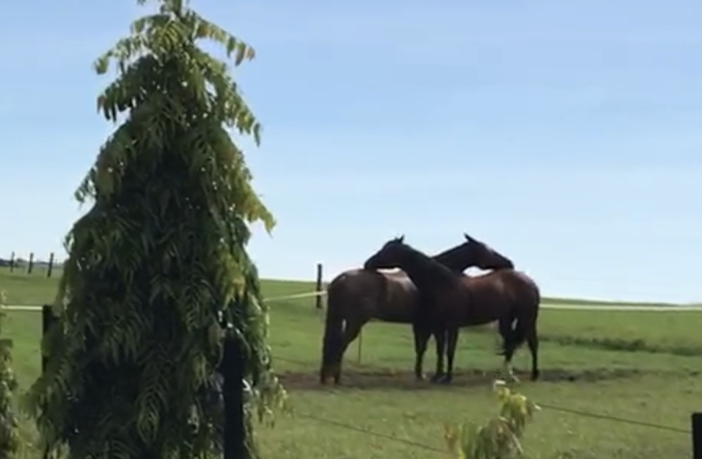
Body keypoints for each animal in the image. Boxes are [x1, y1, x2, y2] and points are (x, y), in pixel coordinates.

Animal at [320, 234, 516, 384]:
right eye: (487, 250)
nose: (509, 262)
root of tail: (341, 279)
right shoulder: (431, 325)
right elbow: (432, 348)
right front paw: (430, 375)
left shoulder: (422, 324)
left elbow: (421, 348)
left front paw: (421, 374)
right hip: (355, 321)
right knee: (340, 344)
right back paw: (337, 378)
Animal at [366, 237, 540, 384]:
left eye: (388, 251)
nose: (368, 263)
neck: (443, 284)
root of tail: (530, 282)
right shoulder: (437, 327)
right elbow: (438, 350)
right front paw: (437, 376)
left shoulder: (451, 326)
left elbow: (448, 351)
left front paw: (446, 378)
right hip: (509, 319)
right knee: (510, 344)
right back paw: (507, 376)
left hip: (527, 318)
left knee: (531, 343)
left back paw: (531, 375)